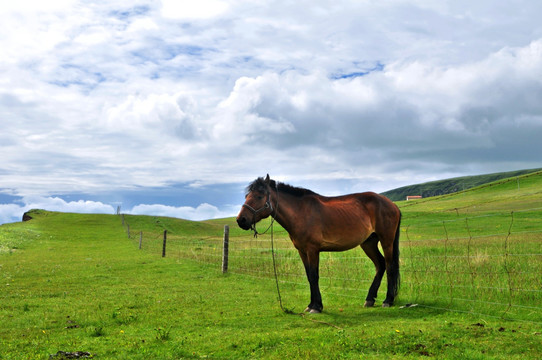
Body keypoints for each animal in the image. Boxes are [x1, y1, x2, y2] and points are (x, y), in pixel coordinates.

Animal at [238, 174, 404, 312]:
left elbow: (314, 276)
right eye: (247, 196)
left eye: (259, 196)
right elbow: (309, 276)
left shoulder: (313, 250)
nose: (241, 220)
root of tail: (392, 205)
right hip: (368, 243)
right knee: (380, 265)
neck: (300, 212)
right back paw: (370, 299)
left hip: (387, 241)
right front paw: (312, 304)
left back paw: (388, 300)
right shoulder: (302, 251)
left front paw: (316, 306)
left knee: (389, 266)